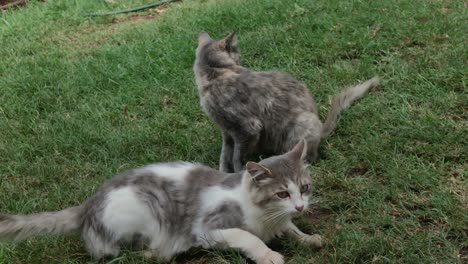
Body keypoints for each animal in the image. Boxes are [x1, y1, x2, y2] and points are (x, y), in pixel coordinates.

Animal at [0, 140, 322, 262]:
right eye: (282, 193)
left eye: (304, 188)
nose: (300, 206)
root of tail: (86, 207)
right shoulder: (207, 228)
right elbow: (248, 237)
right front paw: (269, 255)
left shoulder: (281, 220)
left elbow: (291, 228)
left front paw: (308, 238)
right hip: (144, 209)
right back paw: (159, 254)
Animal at [194, 32, 380, 173]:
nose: (240, 57)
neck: (215, 73)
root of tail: (321, 128)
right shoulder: (227, 132)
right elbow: (225, 156)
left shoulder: (247, 129)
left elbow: (237, 156)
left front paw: (240, 172)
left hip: (301, 126)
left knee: (307, 157)